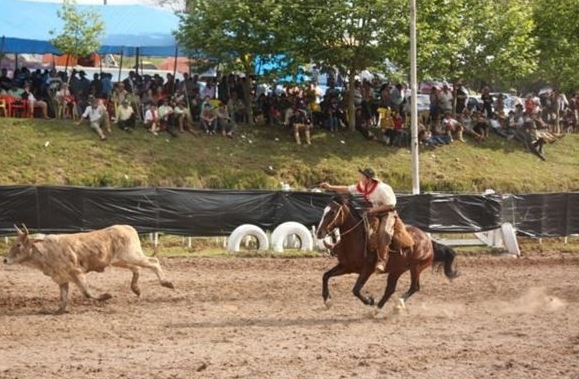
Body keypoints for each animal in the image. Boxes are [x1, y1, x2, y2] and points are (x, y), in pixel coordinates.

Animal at [314, 194, 460, 316]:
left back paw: (397, 305)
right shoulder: (347, 266)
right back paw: (377, 309)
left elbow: (355, 289)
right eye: (324, 211)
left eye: (332, 212)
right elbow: (325, 276)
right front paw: (327, 301)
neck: (357, 238)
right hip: (397, 270)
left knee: (414, 287)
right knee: (390, 289)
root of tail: (428, 240)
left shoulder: (367, 269)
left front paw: (370, 300)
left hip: (416, 267)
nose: (319, 233)